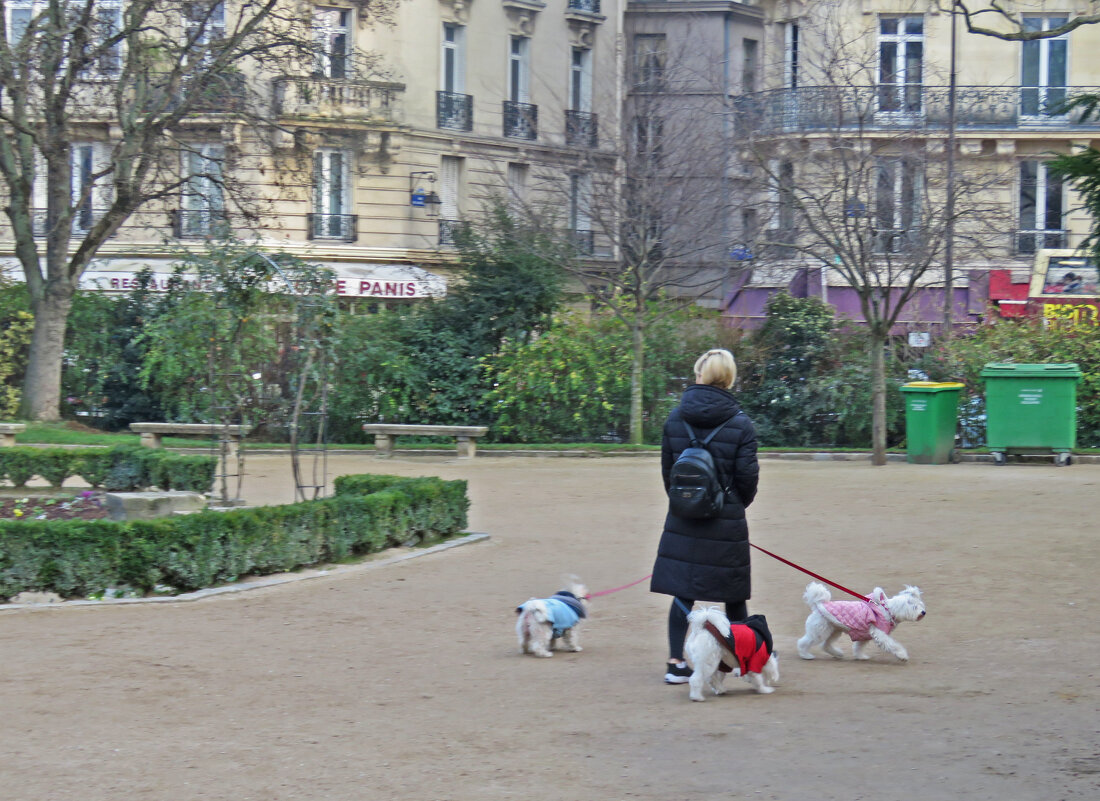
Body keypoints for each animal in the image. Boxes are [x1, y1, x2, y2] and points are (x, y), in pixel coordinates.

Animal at [796, 580, 924, 664]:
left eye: (921, 605)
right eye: (914, 607)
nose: (923, 612)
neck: (887, 610)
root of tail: (818, 605)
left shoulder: (864, 634)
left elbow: (858, 647)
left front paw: (861, 656)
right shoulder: (880, 634)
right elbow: (893, 645)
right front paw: (902, 656)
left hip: (833, 630)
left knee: (825, 645)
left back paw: (837, 654)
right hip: (819, 631)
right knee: (803, 642)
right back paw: (806, 655)